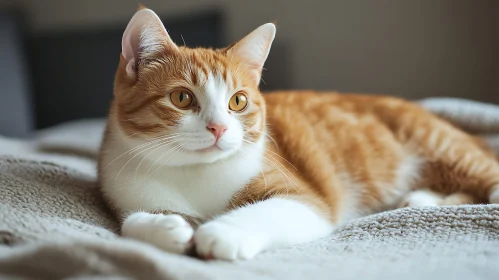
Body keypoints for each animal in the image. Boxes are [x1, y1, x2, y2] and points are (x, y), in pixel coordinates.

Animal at [97, 6, 499, 260]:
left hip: (439, 144)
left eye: (238, 101)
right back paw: (421, 199)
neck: (196, 174)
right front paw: (167, 226)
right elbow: (129, 223)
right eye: (182, 98)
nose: (219, 127)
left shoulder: (304, 197)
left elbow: (271, 210)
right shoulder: (125, 190)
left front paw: (221, 232)